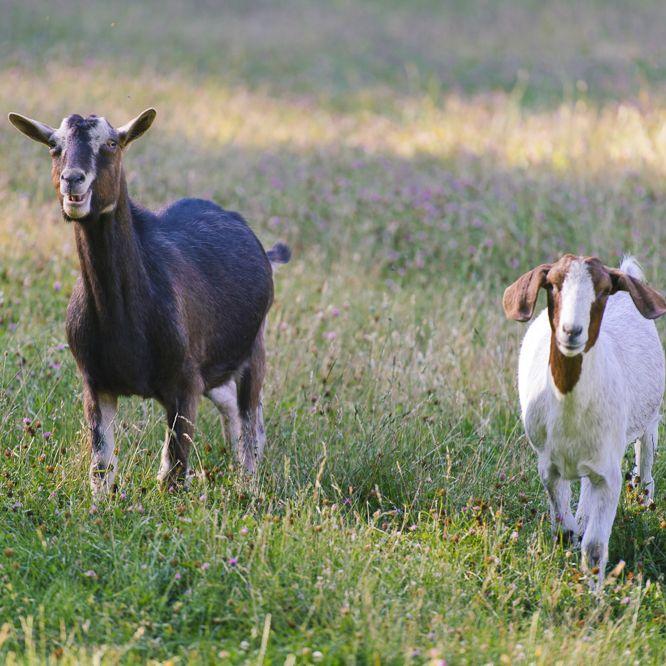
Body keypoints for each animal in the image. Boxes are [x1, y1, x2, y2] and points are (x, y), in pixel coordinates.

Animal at [8, 108, 291, 495]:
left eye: (111, 143)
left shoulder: (184, 383)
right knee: (233, 406)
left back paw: (248, 484)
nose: (72, 180)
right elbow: (101, 467)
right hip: (215, 365)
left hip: (252, 348)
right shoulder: (95, 382)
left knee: (250, 418)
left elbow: (173, 472)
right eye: (54, 146)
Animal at [503, 254, 666, 588]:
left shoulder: (608, 471)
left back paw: (644, 499)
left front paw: (594, 593)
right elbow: (564, 529)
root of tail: (625, 272)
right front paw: (569, 551)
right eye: (552, 285)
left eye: (603, 291)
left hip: (648, 420)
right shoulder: (549, 466)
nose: (571, 331)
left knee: (645, 461)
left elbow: (594, 546)